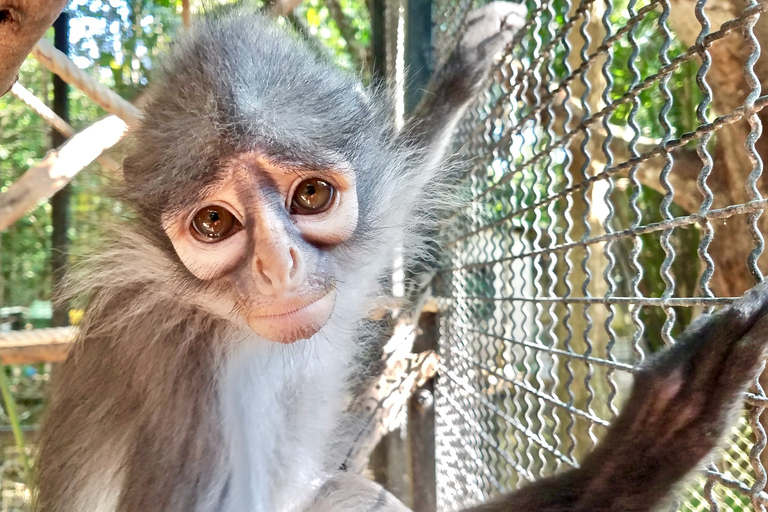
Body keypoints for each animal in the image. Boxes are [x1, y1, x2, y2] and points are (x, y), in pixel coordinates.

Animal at [36, 4, 768, 512]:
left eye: (310, 195)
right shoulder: (183, 372)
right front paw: (629, 464)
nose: (280, 266)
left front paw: (463, 66)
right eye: (214, 222)